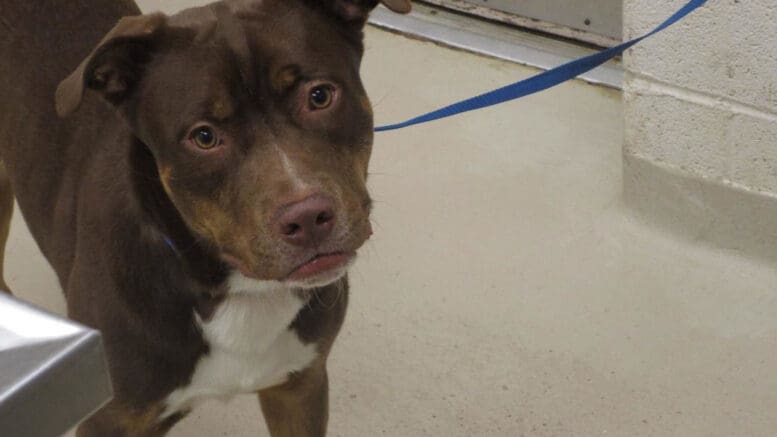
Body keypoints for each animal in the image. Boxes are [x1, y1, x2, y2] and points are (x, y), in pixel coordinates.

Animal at [0, 1, 412, 434]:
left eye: (319, 96)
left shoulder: (300, 387)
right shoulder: (111, 418)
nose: (308, 217)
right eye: (204, 137)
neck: (236, 291)